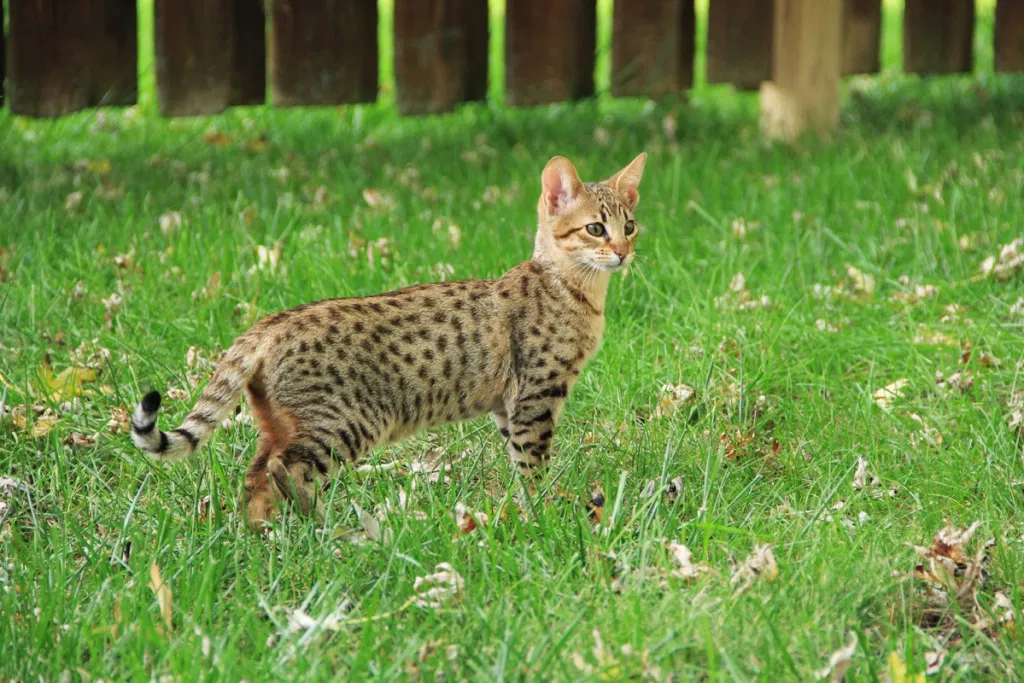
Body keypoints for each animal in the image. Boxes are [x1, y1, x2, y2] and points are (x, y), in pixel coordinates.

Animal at [130, 154, 647, 528]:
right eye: (595, 228)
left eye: (630, 226)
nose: (623, 252)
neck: (574, 290)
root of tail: (270, 322)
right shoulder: (535, 396)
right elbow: (532, 463)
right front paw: (545, 512)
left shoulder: (508, 404)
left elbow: (517, 457)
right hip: (343, 423)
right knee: (280, 470)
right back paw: (320, 527)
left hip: (284, 422)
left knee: (255, 474)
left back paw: (264, 532)